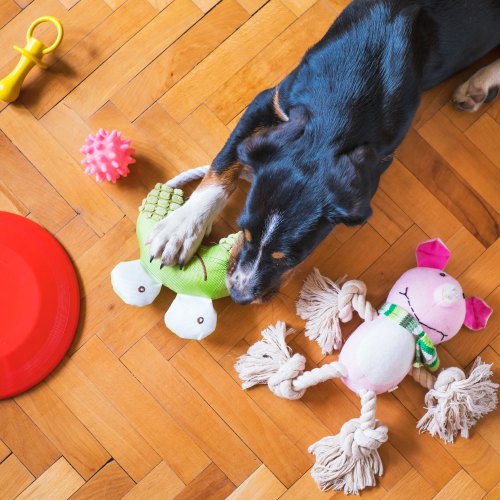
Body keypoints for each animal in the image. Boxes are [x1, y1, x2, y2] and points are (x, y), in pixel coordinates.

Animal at [148, 0, 500, 304]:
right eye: (243, 230)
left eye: (291, 257)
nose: (239, 296)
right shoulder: (270, 100)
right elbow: (224, 162)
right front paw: (181, 228)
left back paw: (480, 84)